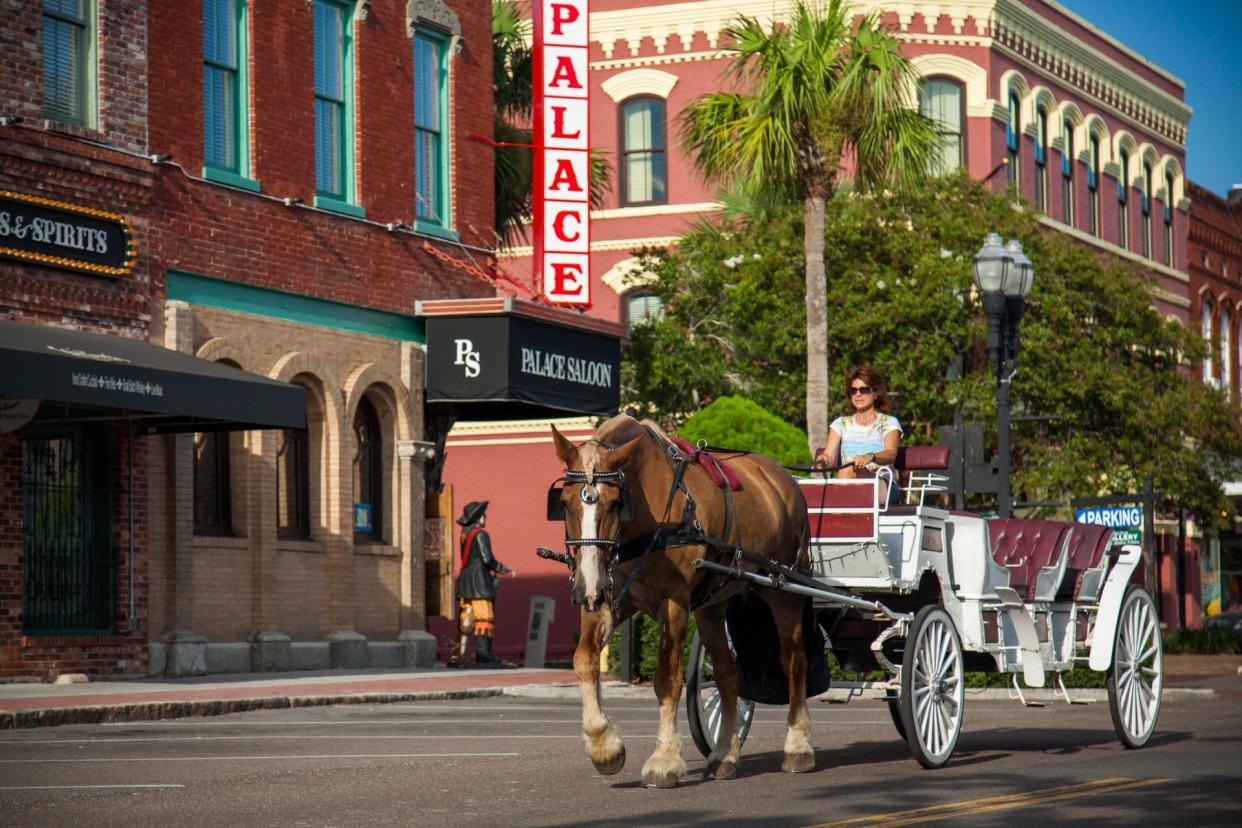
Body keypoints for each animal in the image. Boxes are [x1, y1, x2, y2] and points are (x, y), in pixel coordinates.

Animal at [548, 417, 809, 789]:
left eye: (614, 503)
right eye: (565, 502)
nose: (584, 588)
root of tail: (784, 479)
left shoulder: (674, 604)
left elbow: (667, 680)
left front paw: (665, 761)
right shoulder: (607, 594)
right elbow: (584, 659)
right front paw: (604, 747)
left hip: (784, 590)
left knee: (794, 661)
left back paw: (798, 746)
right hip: (713, 605)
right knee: (727, 672)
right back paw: (724, 754)